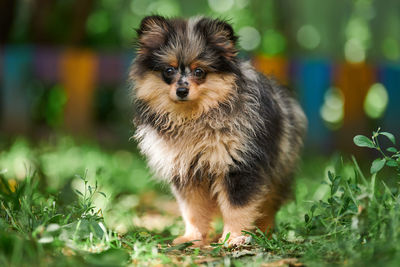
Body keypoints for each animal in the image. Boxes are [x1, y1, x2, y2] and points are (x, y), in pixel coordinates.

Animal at [130, 15, 306, 248]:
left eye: (199, 72)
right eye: (169, 70)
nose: (182, 90)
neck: (194, 118)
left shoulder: (238, 165)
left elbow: (236, 208)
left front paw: (234, 237)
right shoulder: (187, 171)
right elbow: (193, 210)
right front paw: (193, 237)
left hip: (278, 169)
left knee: (268, 205)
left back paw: (264, 233)